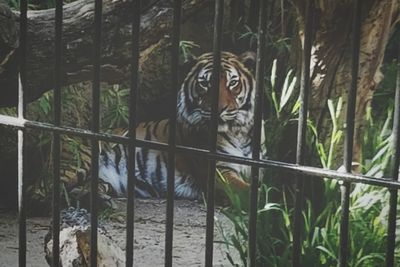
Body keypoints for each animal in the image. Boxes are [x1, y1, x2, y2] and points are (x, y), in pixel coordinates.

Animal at [99, 51, 260, 200]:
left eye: (232, 83)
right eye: (204, 83)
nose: (218, 109)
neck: (239, 132)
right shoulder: (219, 171)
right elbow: (246, 191)